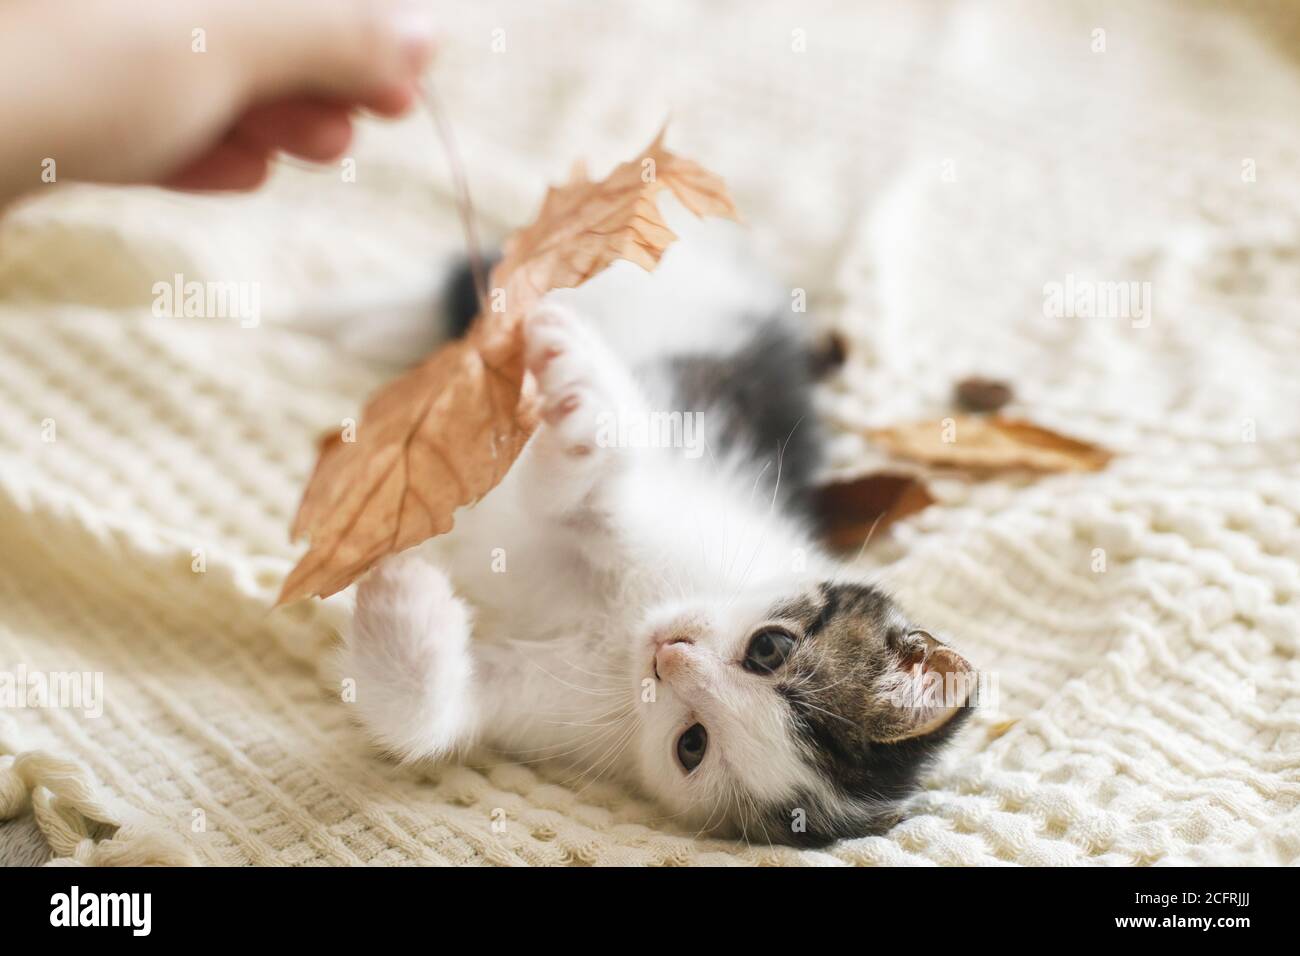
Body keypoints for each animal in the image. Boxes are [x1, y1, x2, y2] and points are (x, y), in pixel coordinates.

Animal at [340, 205, 972, 848]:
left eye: (692, 745)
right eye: (770, 647)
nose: (668, 655)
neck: (625, 626)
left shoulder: (546, 704)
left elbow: (429, 713)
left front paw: (402, 601)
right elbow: (597, 501)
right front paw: (579, 403)